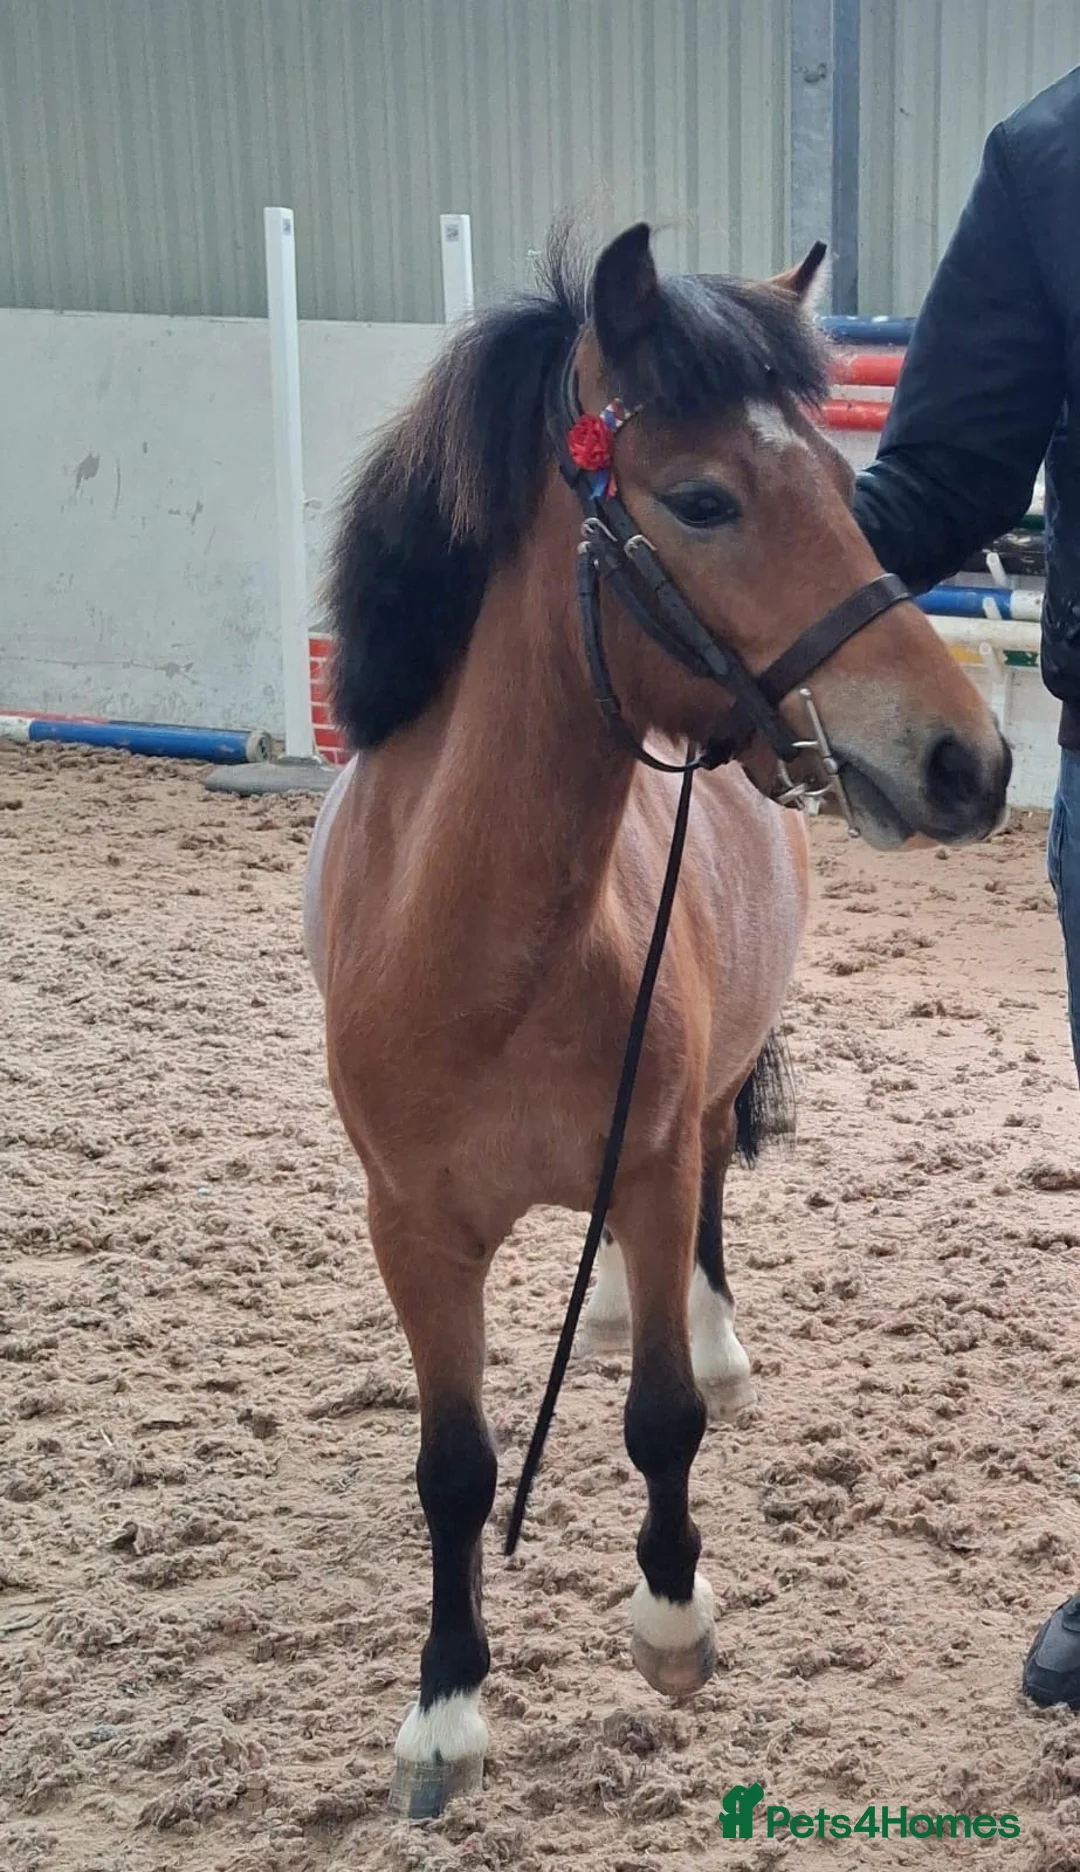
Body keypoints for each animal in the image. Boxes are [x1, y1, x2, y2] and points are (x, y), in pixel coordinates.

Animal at [303, 221, 1010, 1818]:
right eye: (702, 500)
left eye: (844, 492)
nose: (972, 761)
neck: (472, 949)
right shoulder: (406, 1229)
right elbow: (454, 1468)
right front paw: (446, 1709)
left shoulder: (646, 1154)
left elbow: (660, 1421)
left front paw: (674, 1620)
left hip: (705, 1096)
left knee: (706, 1216)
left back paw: (696, 1319)